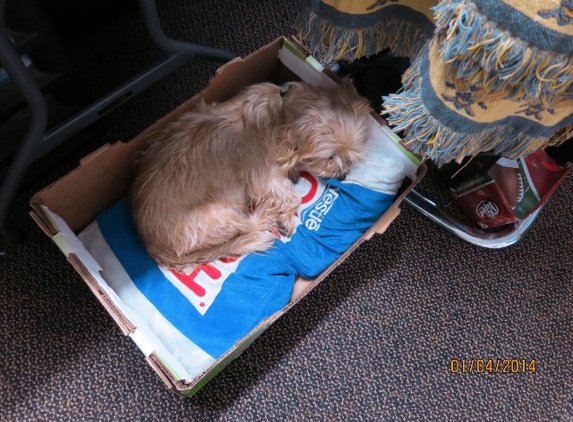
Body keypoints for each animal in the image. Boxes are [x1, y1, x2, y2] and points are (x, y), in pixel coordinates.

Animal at [130, 78, 370, 270]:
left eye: (351, 154)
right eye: (330, 157)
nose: (342, 177)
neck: (281, 114)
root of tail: (154, 248)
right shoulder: (264, 177)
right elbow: (291, 195)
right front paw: (286, 215)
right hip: (222, 215)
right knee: (249, 227)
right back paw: (267, 219)